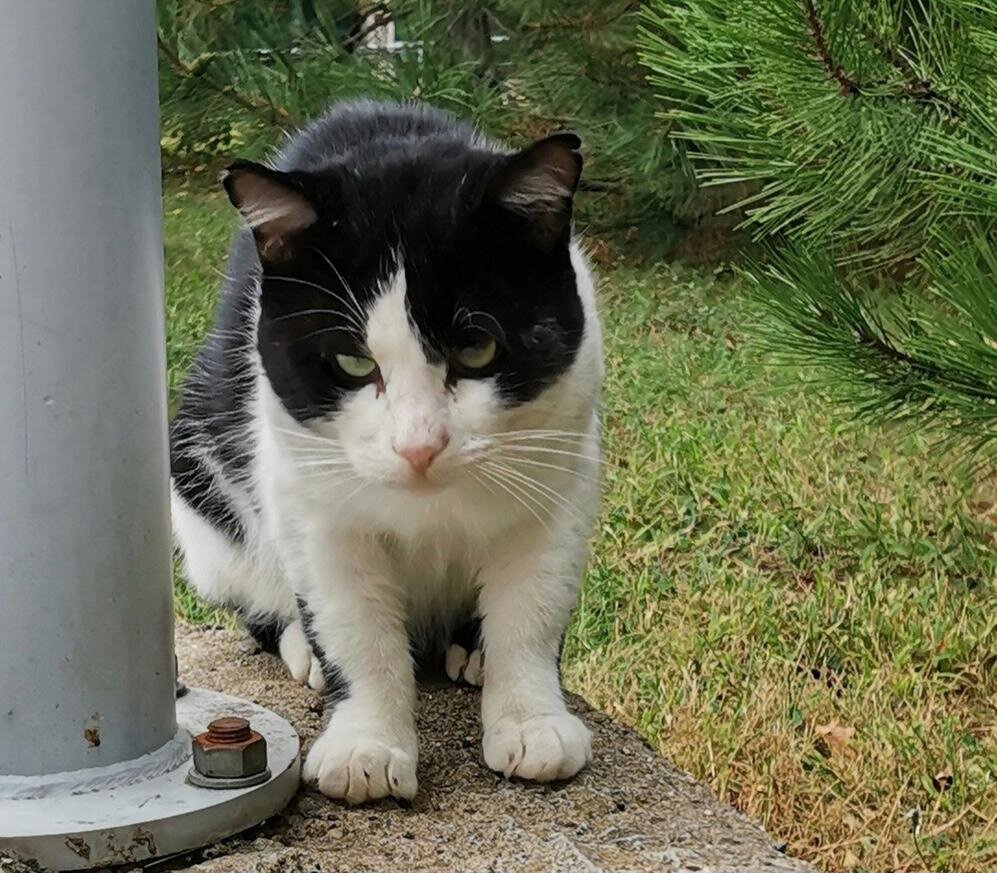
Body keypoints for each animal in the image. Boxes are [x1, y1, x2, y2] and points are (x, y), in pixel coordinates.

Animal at [168, 99, 604, 800]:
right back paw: (300, 646)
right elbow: (356, 628)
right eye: (352, 362)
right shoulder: (313, 503)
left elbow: (530, 611)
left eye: (477, 350)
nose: (418, 445)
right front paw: (365, 744)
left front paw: (531, 721)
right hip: (199, 490)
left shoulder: (558, 477)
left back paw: (471, 651)